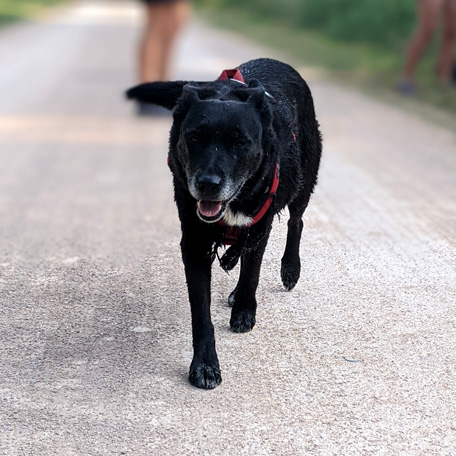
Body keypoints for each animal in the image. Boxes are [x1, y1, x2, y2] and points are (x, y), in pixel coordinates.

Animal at [126, 58, 322, 390]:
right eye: (194, 137)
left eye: (239, 142)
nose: (207, 184)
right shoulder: (194, 243)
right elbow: (201, 313)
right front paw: (205, 364)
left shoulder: (260, 225)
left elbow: (252, 272)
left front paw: (244, 308)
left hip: (304, 179)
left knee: (296, 221)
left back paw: (289, 268)